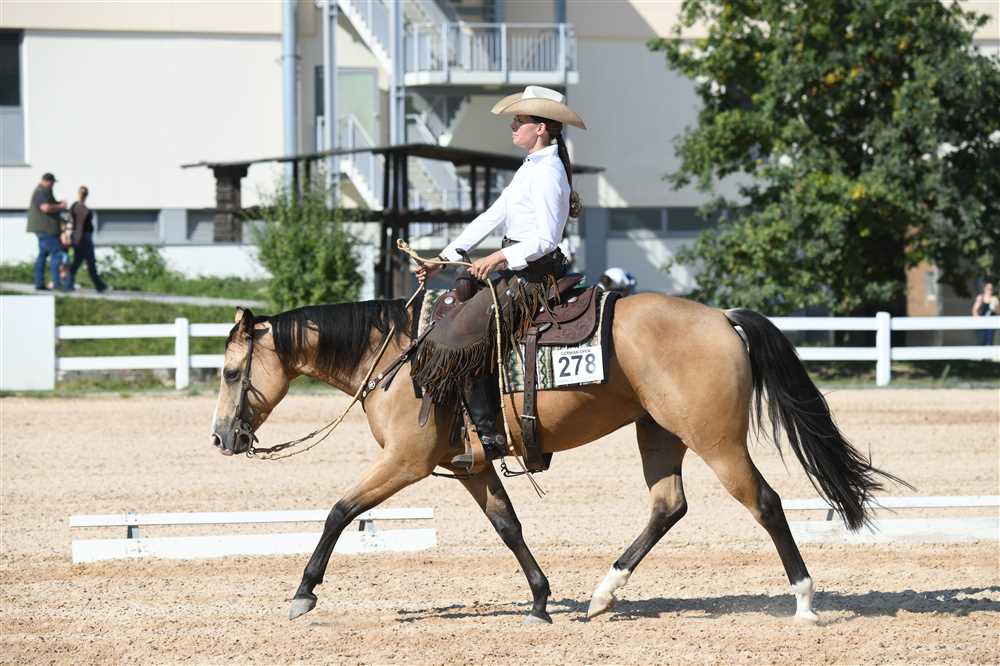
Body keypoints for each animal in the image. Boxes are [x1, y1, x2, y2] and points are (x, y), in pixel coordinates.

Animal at [209, 292, 904, 624]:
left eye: (231, 371)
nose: (220, 439)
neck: (399, 358)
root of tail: (721, 318)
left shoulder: (406, 463)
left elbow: (338, 511)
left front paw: (303, 593)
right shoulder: (471, 467)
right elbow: (508, 525)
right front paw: (541, 601)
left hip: (718, 442)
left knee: (765, 503)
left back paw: (805, 602)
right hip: (659, 433)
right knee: (668, 506)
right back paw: (601, 596)